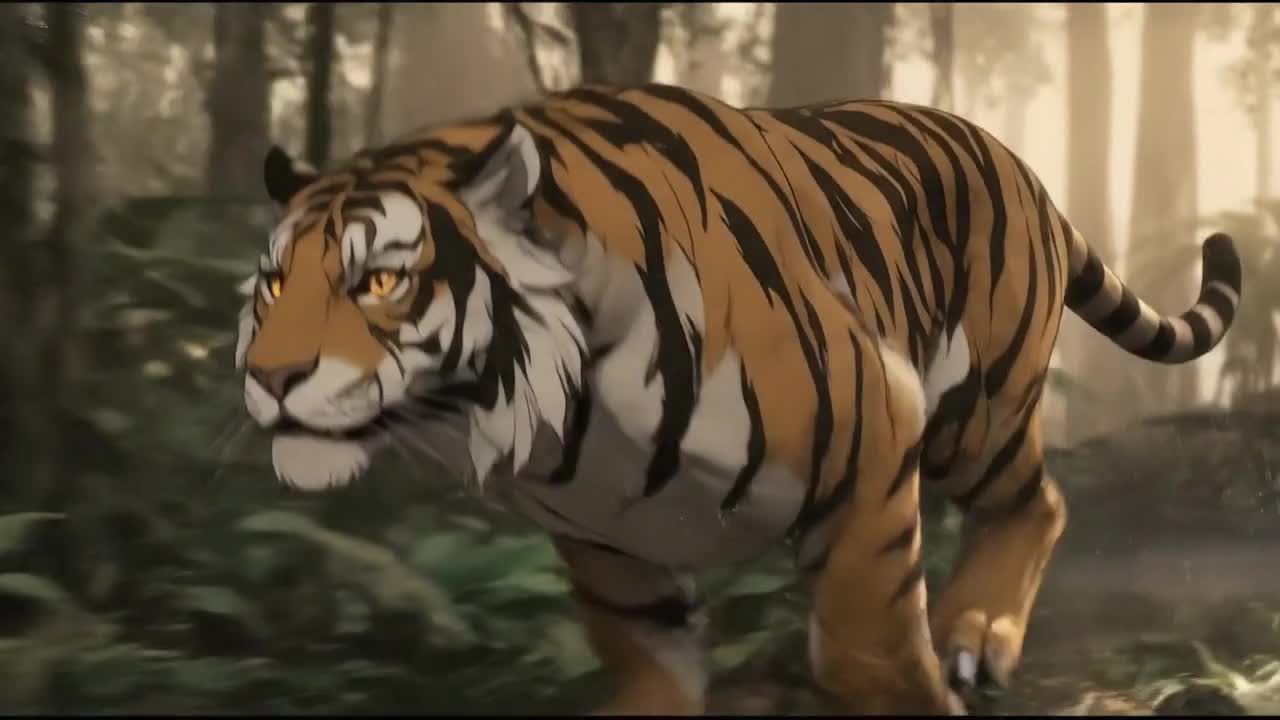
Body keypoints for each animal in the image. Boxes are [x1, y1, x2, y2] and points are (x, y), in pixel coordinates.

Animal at [233, 83, 1241, 715]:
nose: (267, 378)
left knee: (1040, 502)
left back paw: (974, 635)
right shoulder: (605, 535)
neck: (558, 424)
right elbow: (649, 655)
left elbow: (865, 648)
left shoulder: (879, 428)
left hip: (976, 412)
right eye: (275, 283)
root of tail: (1025, 171)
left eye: (378, 282)